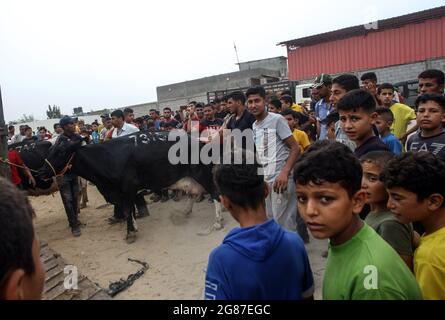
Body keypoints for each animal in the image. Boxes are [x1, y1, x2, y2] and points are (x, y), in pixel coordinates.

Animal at [36, 130, 224, 242]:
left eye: (60, 152)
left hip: (202, 174)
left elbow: (127, 210)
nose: (41, 172)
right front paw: (133, 227)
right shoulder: (124, 192)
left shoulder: (127, 188)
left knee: (216, 194)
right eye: (50, 150)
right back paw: (186, 212)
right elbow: (130, 210)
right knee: (193, 193)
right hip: (190, 177)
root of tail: (200, 141)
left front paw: (130, 233)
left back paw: (217, 222)